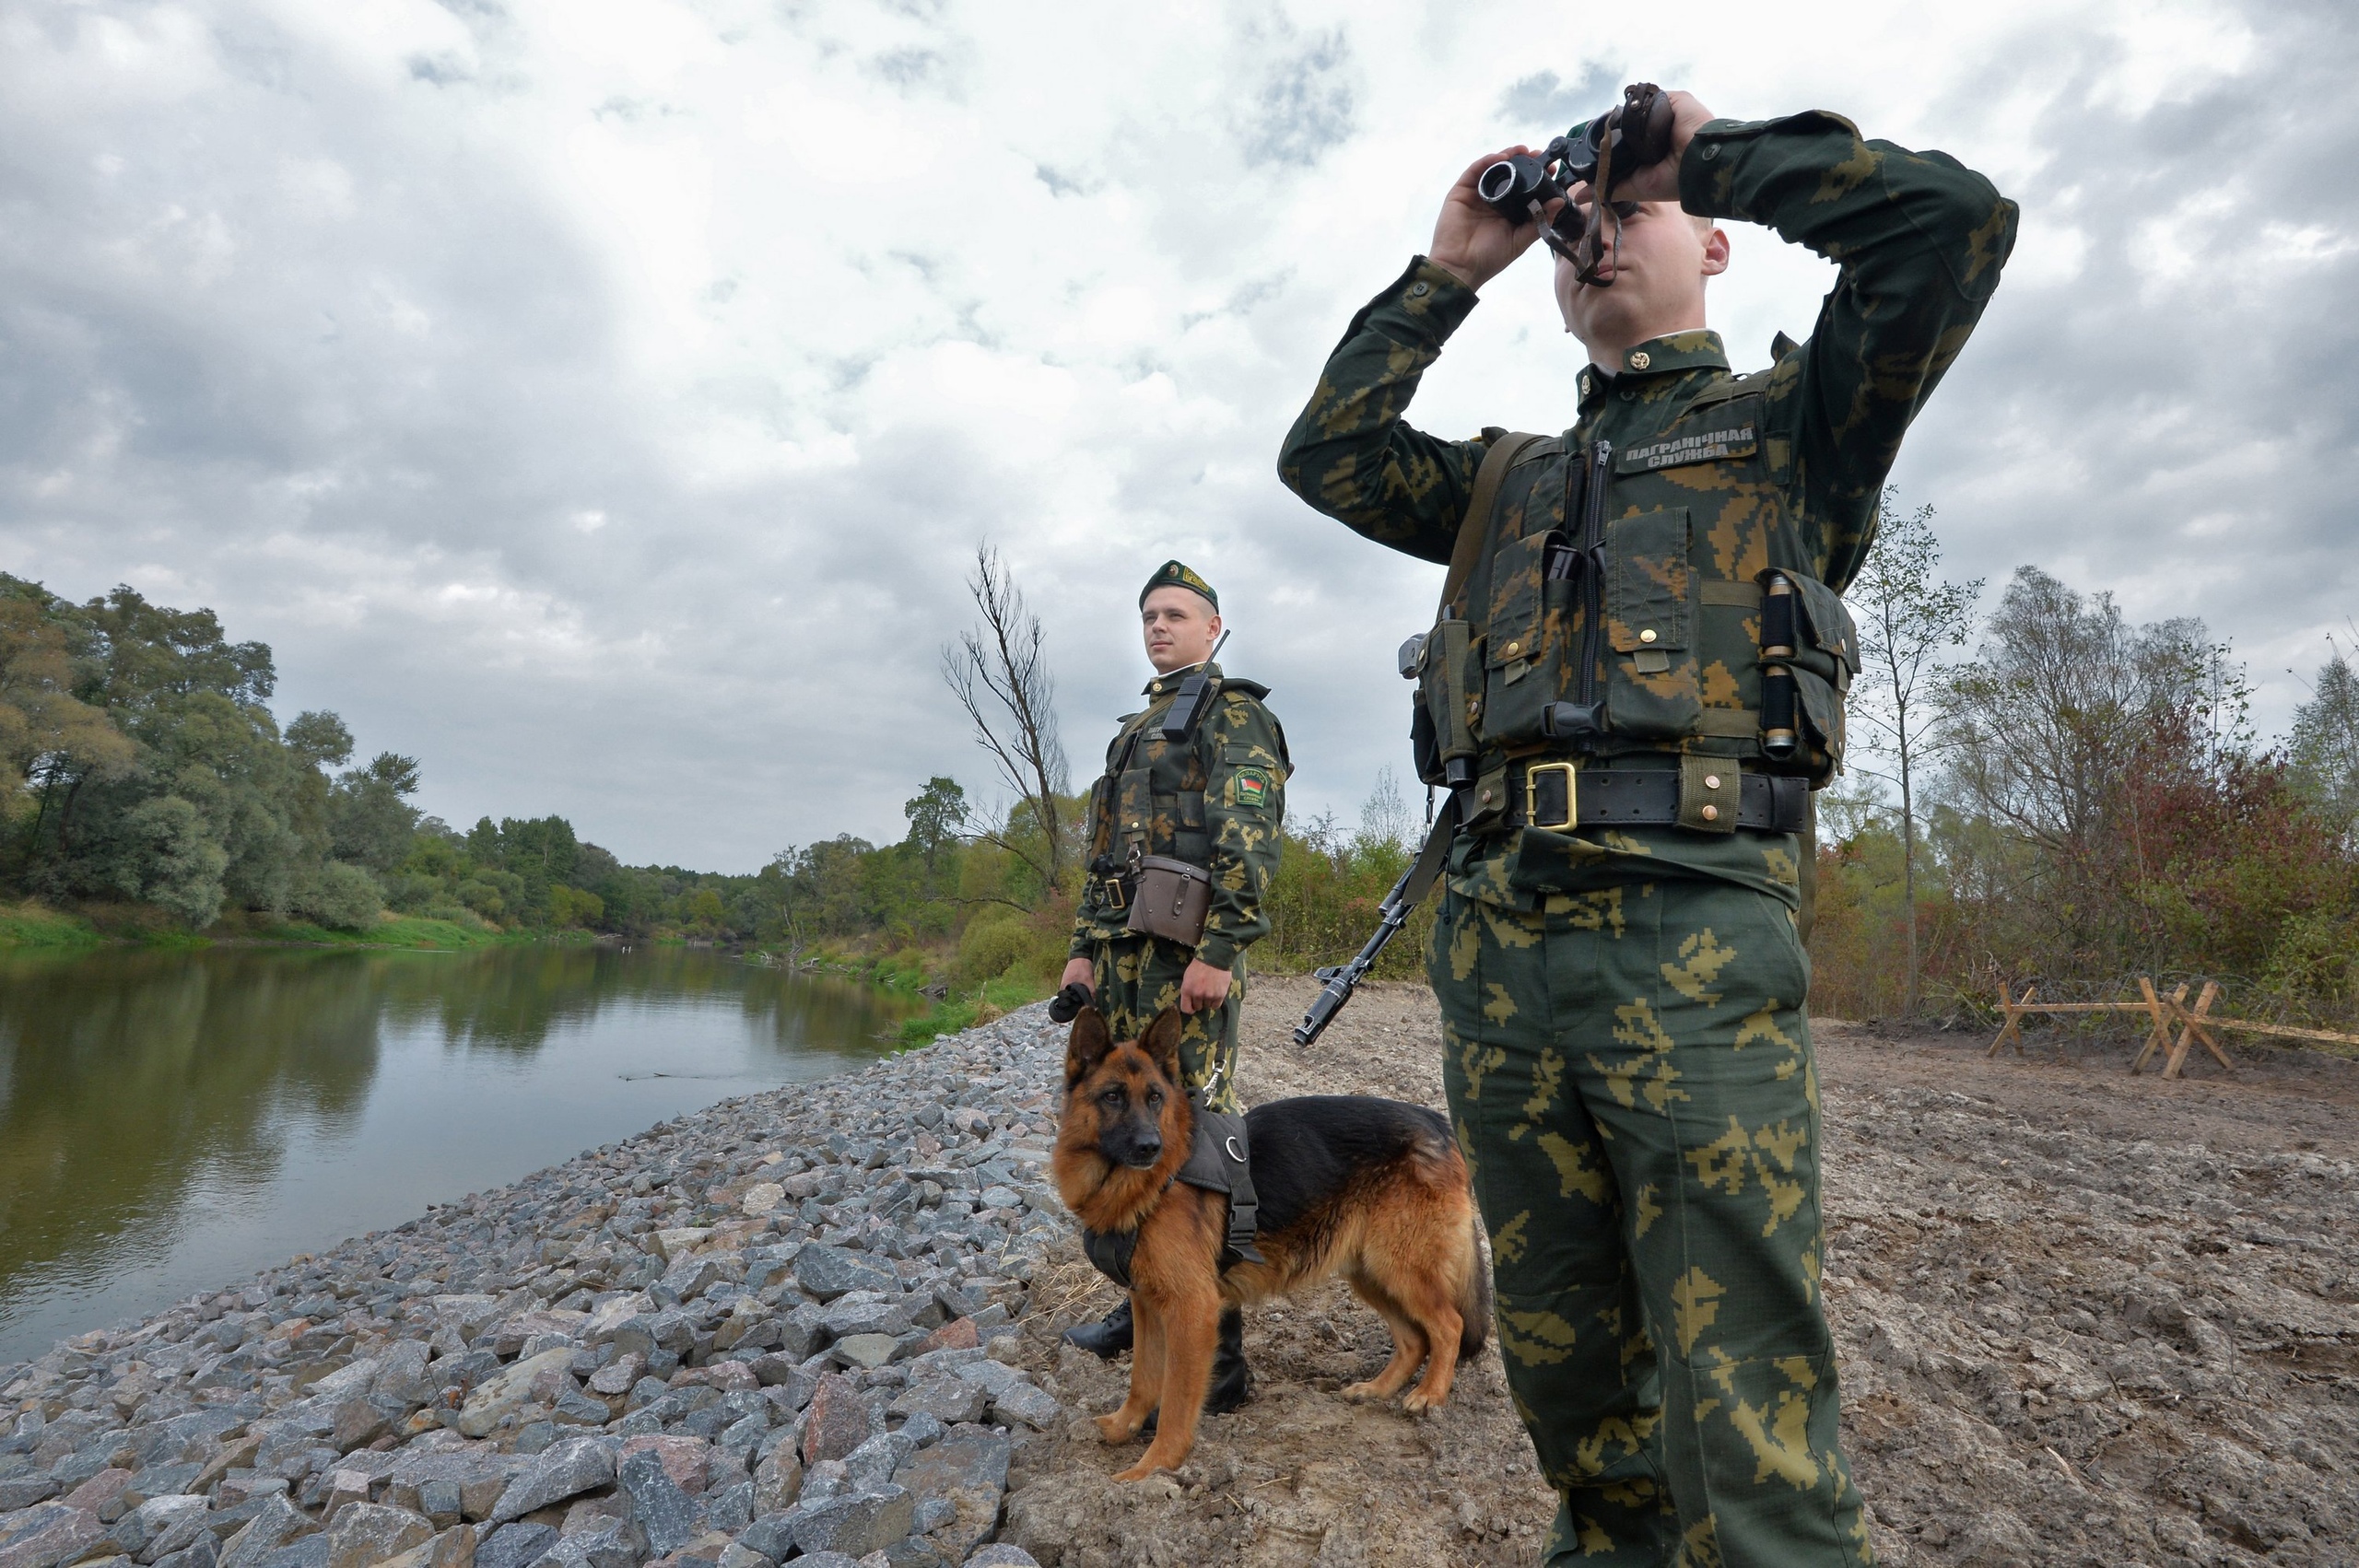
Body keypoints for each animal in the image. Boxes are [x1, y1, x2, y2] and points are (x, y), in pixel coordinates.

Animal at [1056, 1004, 1490, 1480]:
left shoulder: (1191, 1310)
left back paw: (1430, 1394)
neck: (1154, 1183)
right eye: (1113, 1097)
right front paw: (1123, 1427)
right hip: (1372, 1271)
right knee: (1414, 1339)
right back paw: (1377, 1389)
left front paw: (1151, 1470)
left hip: (1400, 1267)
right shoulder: (1147, 1304)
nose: (1151, 1146)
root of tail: (1439, 1123)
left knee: (1448, 1326)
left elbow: (1174, 1401)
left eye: (1155, 1098)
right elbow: (1142, 1378)